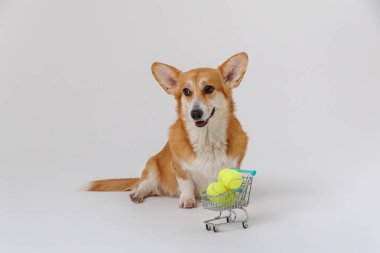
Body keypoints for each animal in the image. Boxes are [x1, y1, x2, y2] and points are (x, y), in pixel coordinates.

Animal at [89, 52, 249, 209]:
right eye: (186, 91)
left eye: (209, 88)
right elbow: (186, 184)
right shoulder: (179, 168)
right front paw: (187, 200)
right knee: (145, 184)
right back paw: (138, 193)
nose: (195, 113)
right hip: (152, 166)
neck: (207, 138)